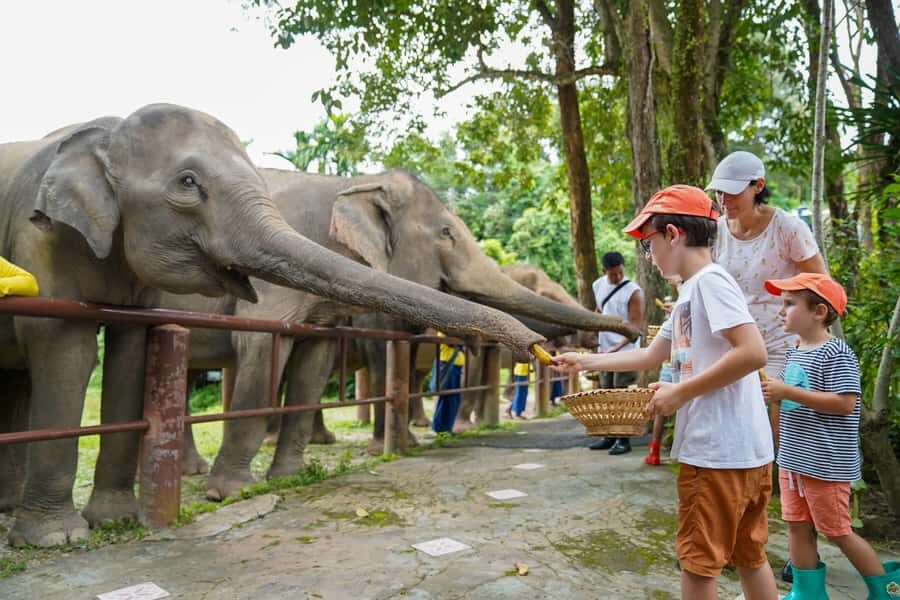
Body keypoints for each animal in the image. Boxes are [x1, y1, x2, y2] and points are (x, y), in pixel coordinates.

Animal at [153, 168, 635, 499]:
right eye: (446, 233)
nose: (630, 326)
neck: (352, 183)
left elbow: (316, 359)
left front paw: (290, 477)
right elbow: (263, 343)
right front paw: (231, 492)